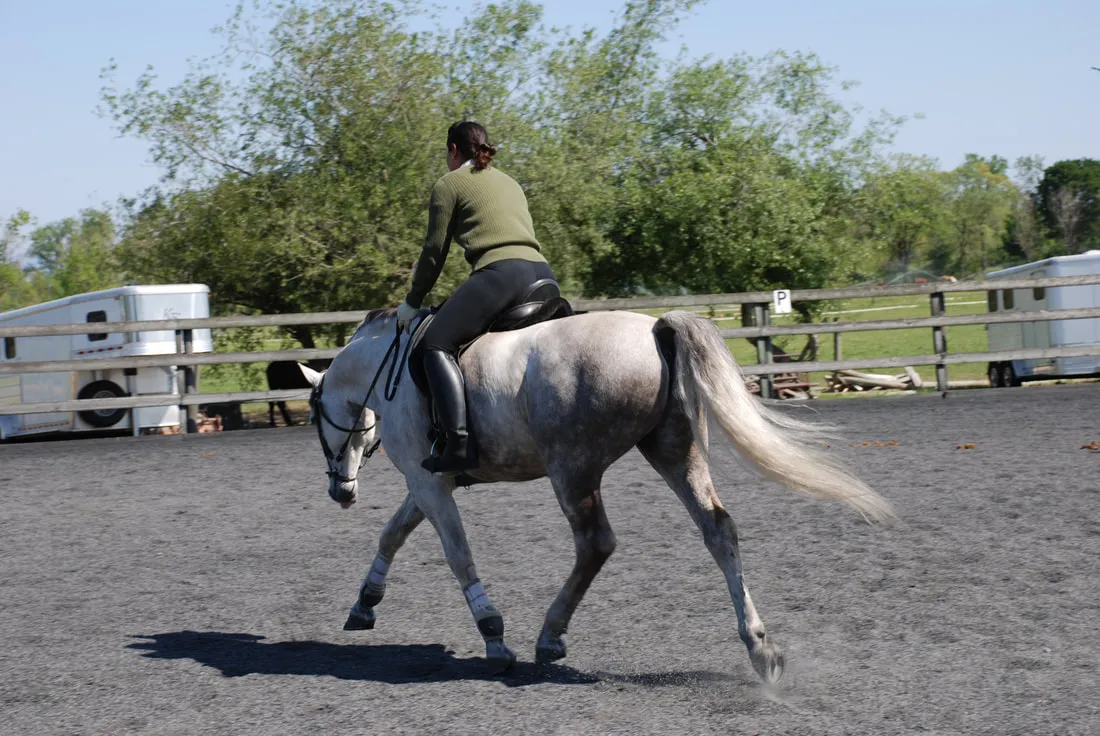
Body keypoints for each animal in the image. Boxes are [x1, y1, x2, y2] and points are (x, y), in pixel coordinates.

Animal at [302, 307, 895, 681]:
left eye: (314, 417)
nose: (340, 491)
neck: (388, 371)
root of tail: (656, 327)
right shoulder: (430, 482)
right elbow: (393, 533)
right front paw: (364, 603)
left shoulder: (429, 483)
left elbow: (457, 555)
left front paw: (494, 637)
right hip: (673, 450)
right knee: (718, 530)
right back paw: (759, 647)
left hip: (573, 468)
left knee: (595, 543)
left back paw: (549, 635)